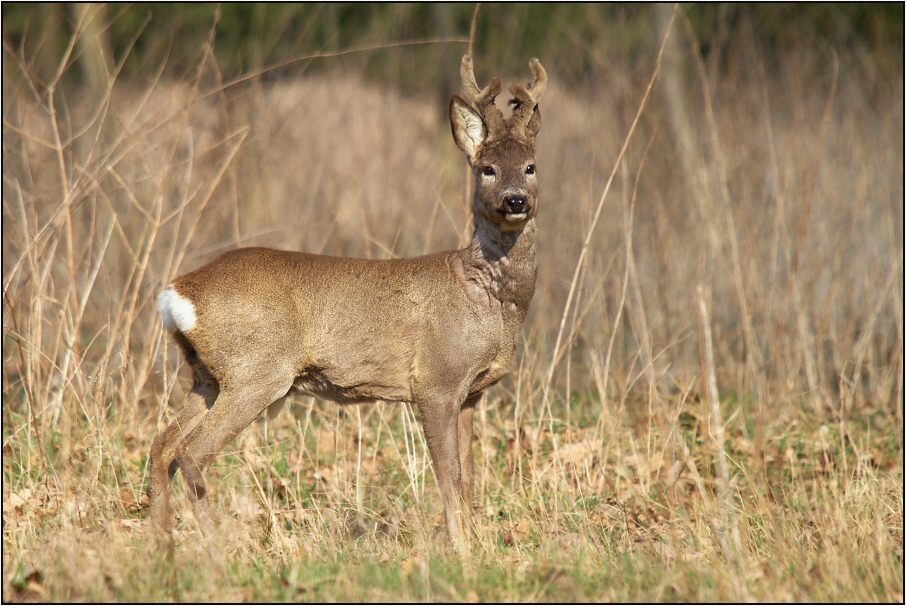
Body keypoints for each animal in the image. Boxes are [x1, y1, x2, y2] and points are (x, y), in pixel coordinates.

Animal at [150, 55, 544, 552]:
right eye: (487, 168)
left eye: (530, 166)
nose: (515, 201)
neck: (487, 299)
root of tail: (178, 292)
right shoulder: (436, 380)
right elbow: (449, 478)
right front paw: (461, 552)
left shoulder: (471, 393)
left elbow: (470, 479)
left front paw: (473, 545)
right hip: (256, 372)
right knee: (192, 452)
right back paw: (221, 547)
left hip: (207, 376)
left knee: (162, 445)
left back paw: (163, 543)